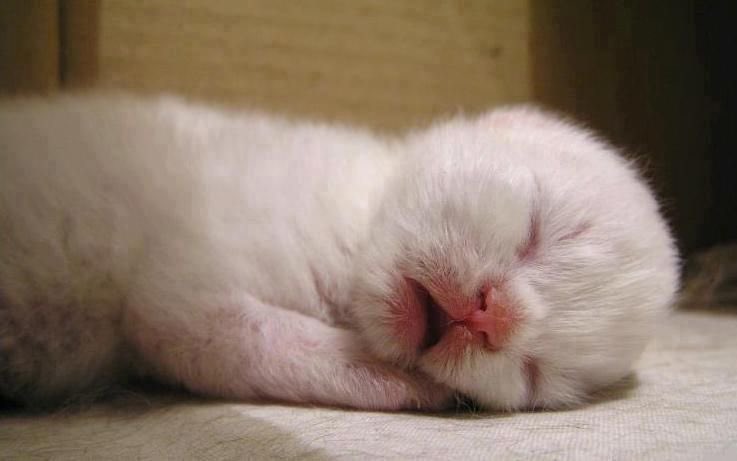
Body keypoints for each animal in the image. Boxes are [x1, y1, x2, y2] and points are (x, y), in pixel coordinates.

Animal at [0, 93, 679, 411]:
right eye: (538, 229)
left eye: (537, 372)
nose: (492, 315)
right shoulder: (184, 291)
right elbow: (245, 333)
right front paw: (400, 381)